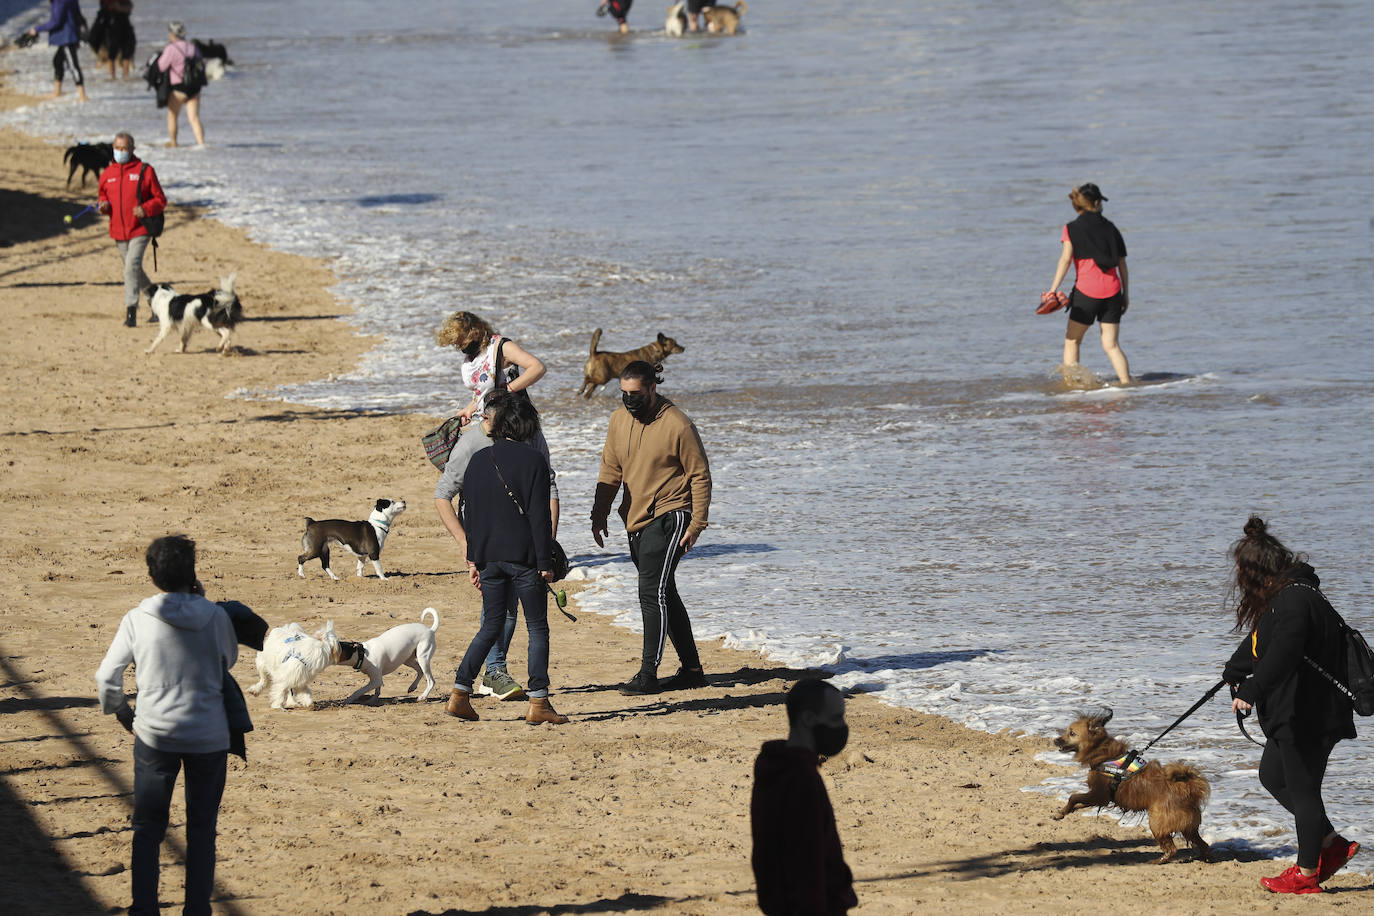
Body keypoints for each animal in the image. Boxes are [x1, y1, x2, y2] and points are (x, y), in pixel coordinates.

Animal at [1049, 708, 1214, 867]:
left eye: (1071, 733)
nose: (1055, 740)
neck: (1103, 754)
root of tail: (1187, 790)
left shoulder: (1099, 794)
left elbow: (1074, 797)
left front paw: (1061, 812)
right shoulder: (1100, 798)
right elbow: (1079, 801)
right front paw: (1067, 811)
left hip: (1157, 823)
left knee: (1172, 849)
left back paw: (1158, 861)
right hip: (1188, 828)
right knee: (1203, 844)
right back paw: (1203, 858)